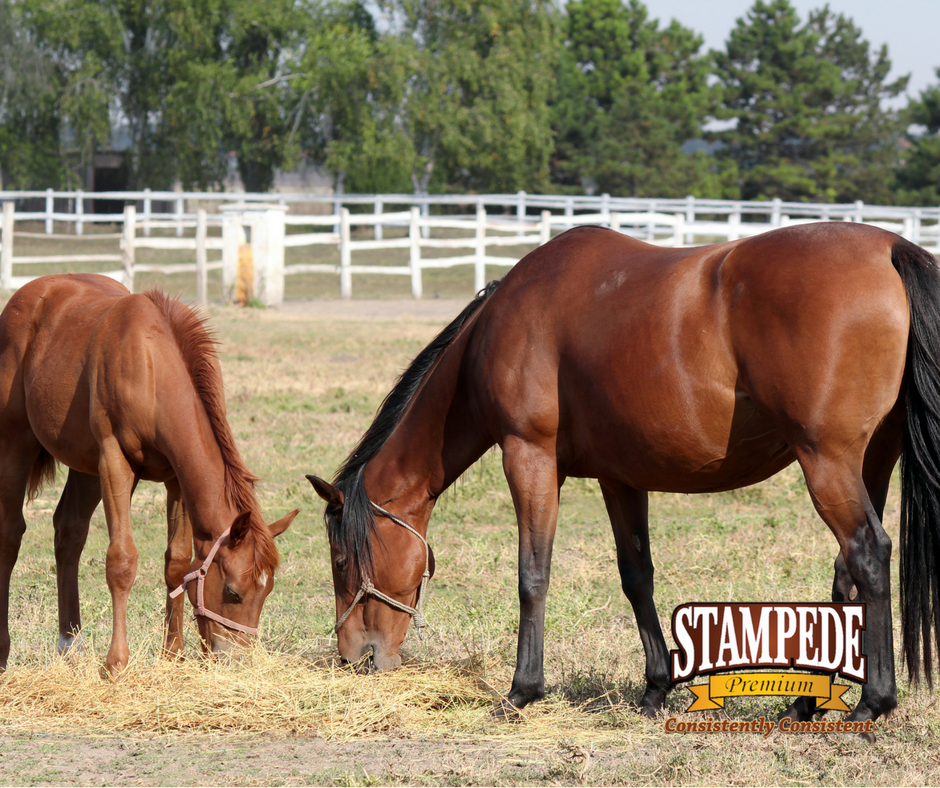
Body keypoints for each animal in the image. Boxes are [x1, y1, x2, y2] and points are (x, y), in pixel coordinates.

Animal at [0, 274, 298, 673]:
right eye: (233, 592)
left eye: (266, 590)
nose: (236, 659)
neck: (152, 366)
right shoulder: (115, 462)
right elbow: (121, 560)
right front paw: (116, 663)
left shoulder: (176, 478)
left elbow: (177, 563)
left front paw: (173, 653)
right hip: (17, 443)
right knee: (11, 533)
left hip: (85, 466)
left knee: (69, 532)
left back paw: (70, 643)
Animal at [308, 221, 940, 729]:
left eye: (340, 561)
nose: (354, 656)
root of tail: (890, 247)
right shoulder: (620, 479)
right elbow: (638, 577)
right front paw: (655, 689)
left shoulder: (529, 457)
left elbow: (532, 575)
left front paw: (520, 692)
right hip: (868, 461)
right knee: (848, 570)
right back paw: (806, 702)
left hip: (826, 460)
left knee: (867, 553)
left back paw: (871, 703)